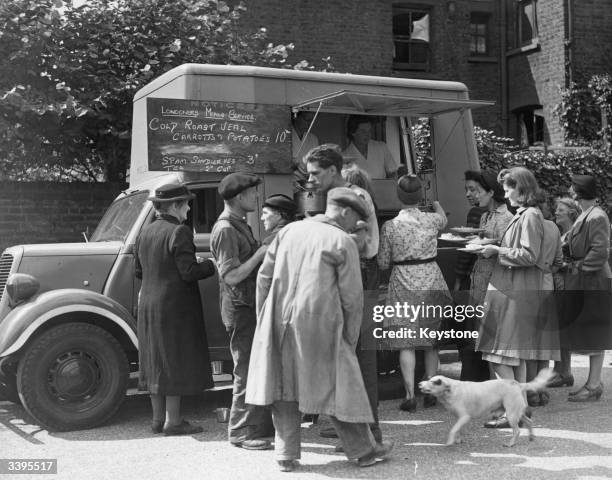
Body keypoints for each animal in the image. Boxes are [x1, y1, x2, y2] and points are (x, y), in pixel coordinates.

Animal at [418, 370, 552, 448]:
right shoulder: (459, 419)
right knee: (529, 421)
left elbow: (453, 429)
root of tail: (518, 384)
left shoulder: (464, 417)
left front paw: (450, 441)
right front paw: (458, 440)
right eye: (429, 379)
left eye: (433, 382)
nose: (419, 383)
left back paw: (510, 443)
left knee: (517, 431)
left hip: (511, 415)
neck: (451, 390)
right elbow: (457, 429)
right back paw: (531, 436)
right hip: (516, 412)